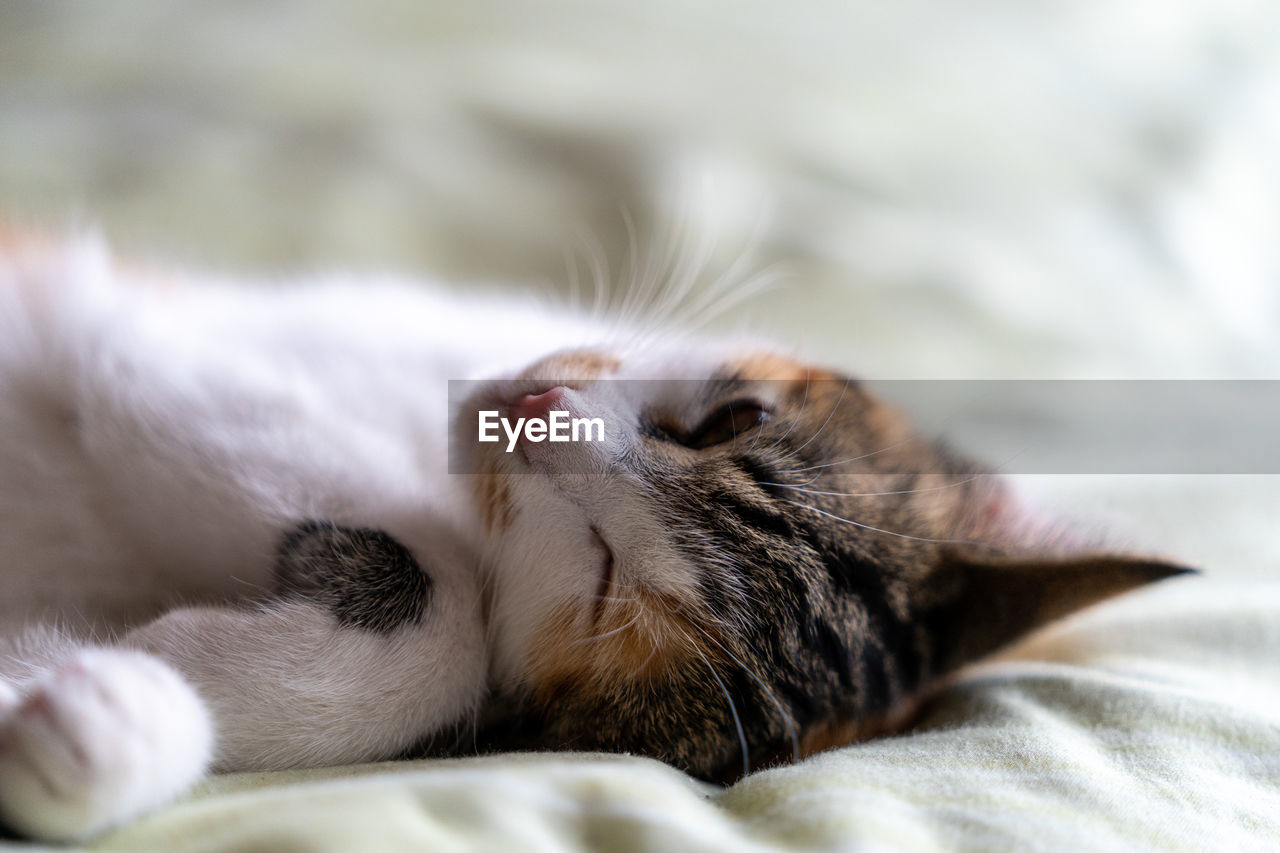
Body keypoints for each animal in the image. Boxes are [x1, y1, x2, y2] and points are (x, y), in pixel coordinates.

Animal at [0, 229, 1187, 840]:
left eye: (605, 579)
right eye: (732, 419)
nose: (531, 412)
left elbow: (449, 629)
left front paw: (98, 700)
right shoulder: (180, 351)